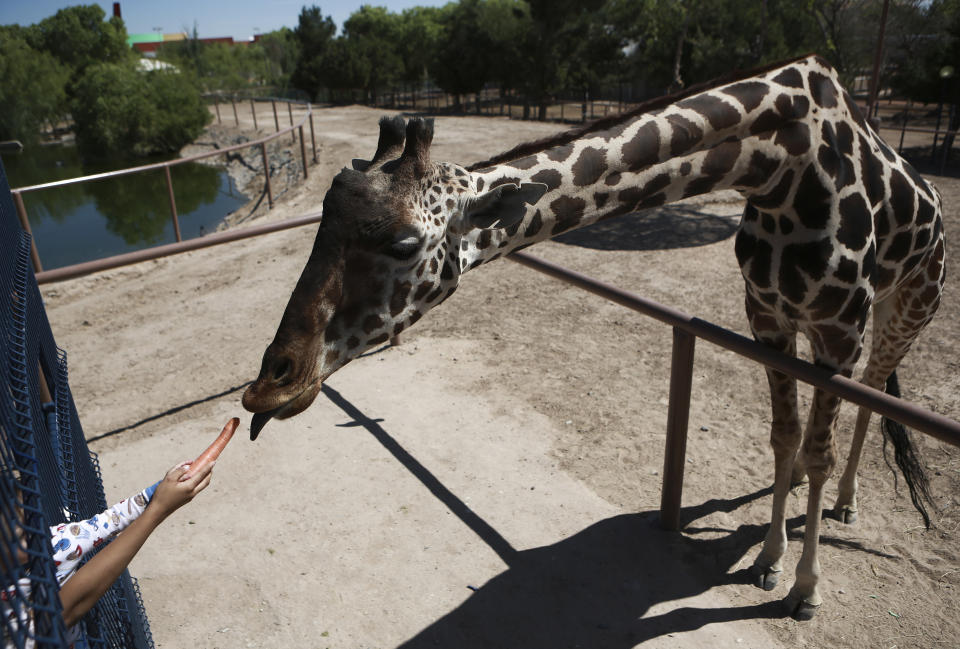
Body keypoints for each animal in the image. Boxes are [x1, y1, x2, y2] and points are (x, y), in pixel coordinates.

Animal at [242, 54, 944, 616]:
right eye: (322, 222)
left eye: (405, 243)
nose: (268, 387)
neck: (780, 171)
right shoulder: (766, 320)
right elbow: (781, 437)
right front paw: (771, 559)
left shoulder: (838, 330)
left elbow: (823, 445)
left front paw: (803, 589)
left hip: (902, 309)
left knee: (873, 392)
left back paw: (846, 502)